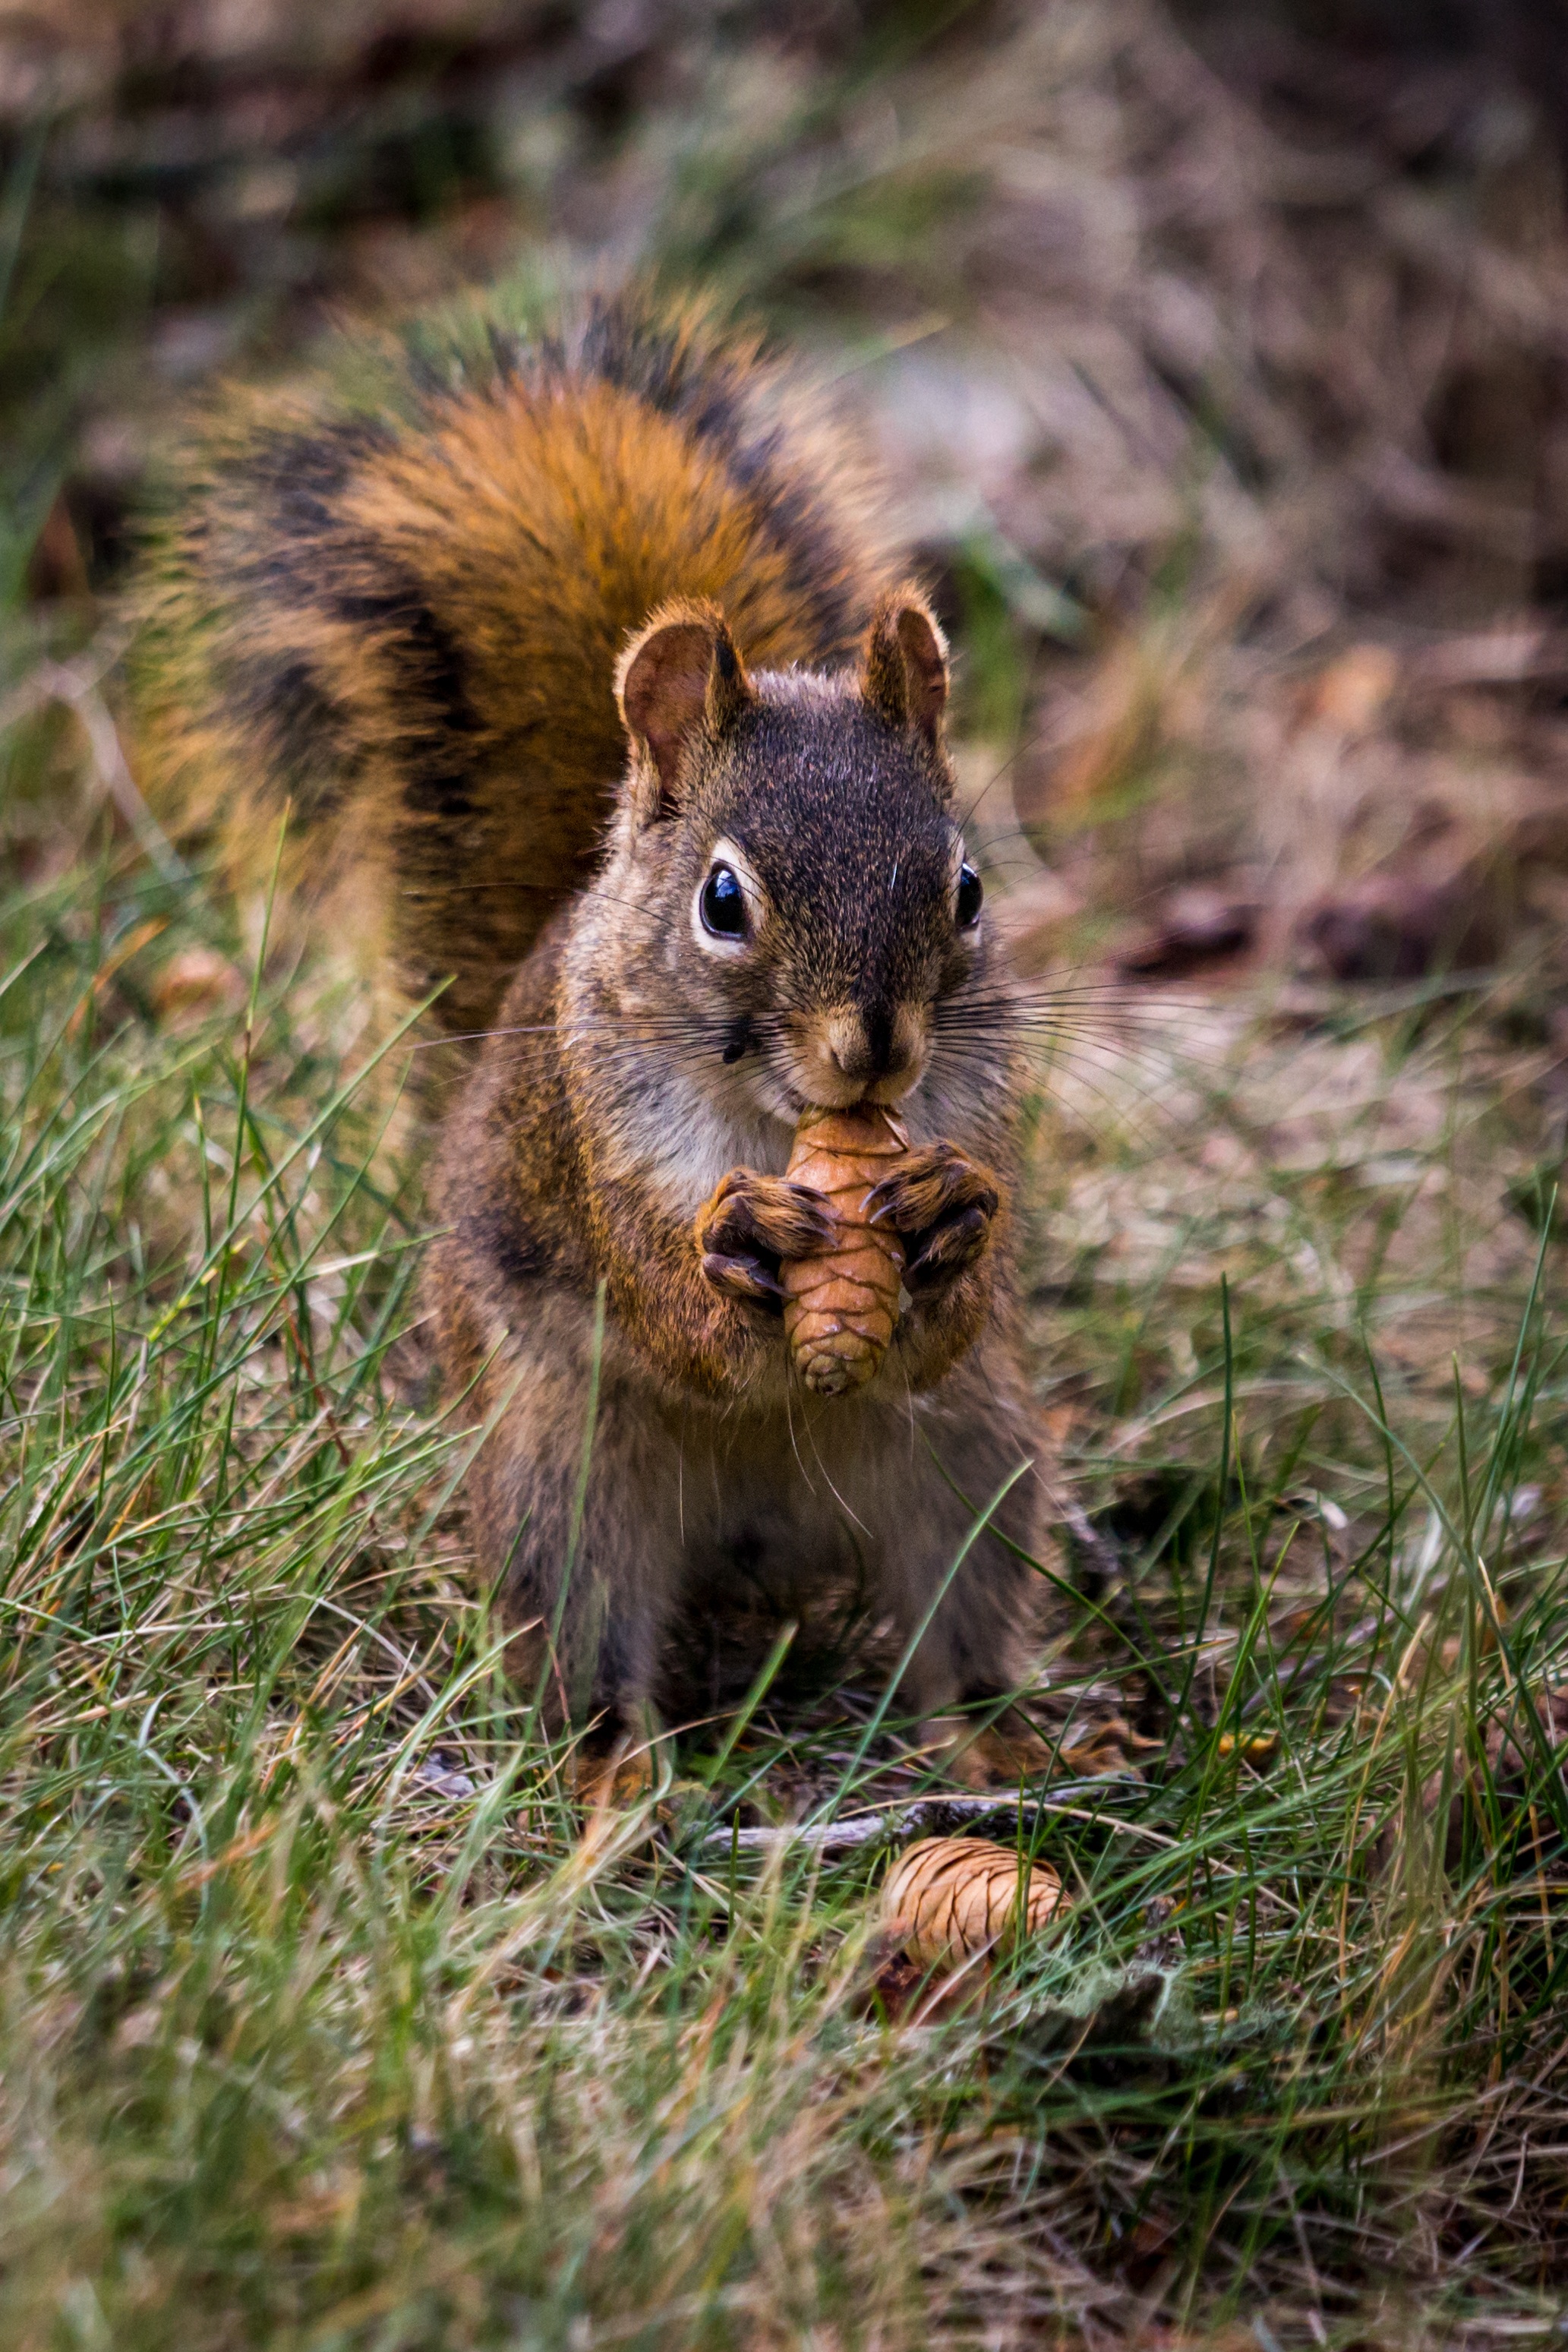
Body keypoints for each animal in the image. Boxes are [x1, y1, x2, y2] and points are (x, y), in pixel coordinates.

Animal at [135, 294, 1052, 1797]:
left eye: (967, 888)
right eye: (723, 902)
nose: (872, 1052)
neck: (780, 1124)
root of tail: (760, 1534)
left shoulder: (975, 1124)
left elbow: (948, 1312)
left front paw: (950, 1213)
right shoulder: (593, 1141)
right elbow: (666, 1298)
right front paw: (739, 1252)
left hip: (969, 1456)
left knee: (951, 1607)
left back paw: (992, 1735)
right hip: (563, 1473)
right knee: (583, 1629)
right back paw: (614, 1767)